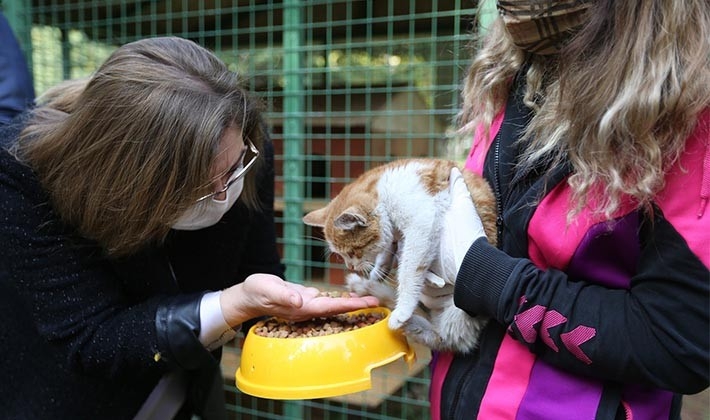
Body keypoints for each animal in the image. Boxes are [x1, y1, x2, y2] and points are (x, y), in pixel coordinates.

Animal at [304, 159, 498, 352]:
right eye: (341, 255)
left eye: (352, 252)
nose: (349, 266)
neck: (385, 189)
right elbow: (388, 248)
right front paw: (379, 270)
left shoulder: (421, 224)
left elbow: (408, 271)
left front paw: (403, 309)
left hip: (460, 312)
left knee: (444, 337)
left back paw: (404, 319)